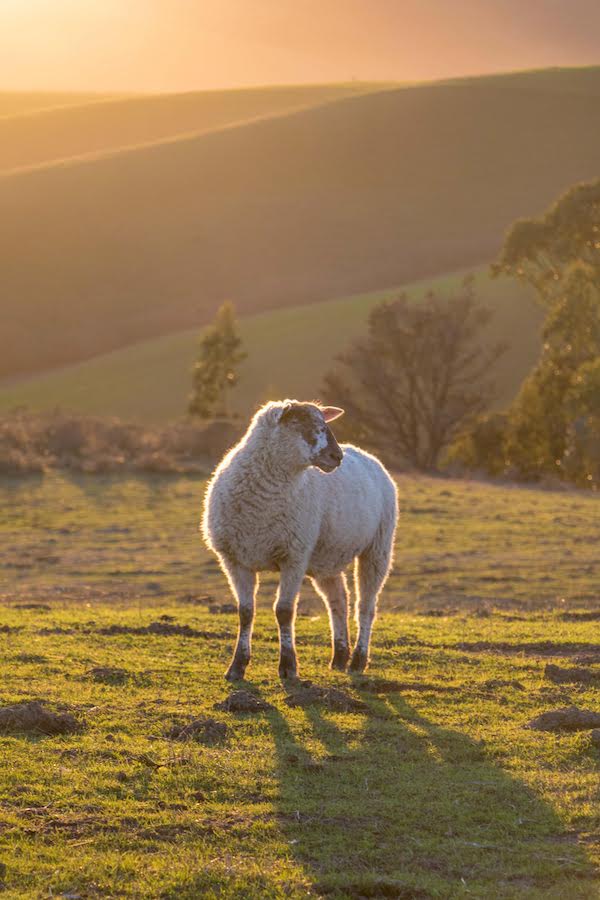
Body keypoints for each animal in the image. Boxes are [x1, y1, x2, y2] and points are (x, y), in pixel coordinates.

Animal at [202, 400, 398, 680]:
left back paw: (358, 660)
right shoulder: (235, 560)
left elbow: (284, 611)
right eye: (301, 423)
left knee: (366, 607)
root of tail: (365, 453)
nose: (337, 457)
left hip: (378, 548)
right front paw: (237, 666)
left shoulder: (294, 556)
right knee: (338, 600)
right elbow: (245, 612)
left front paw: (288, 667)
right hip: (328, 555)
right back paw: (340, 656)